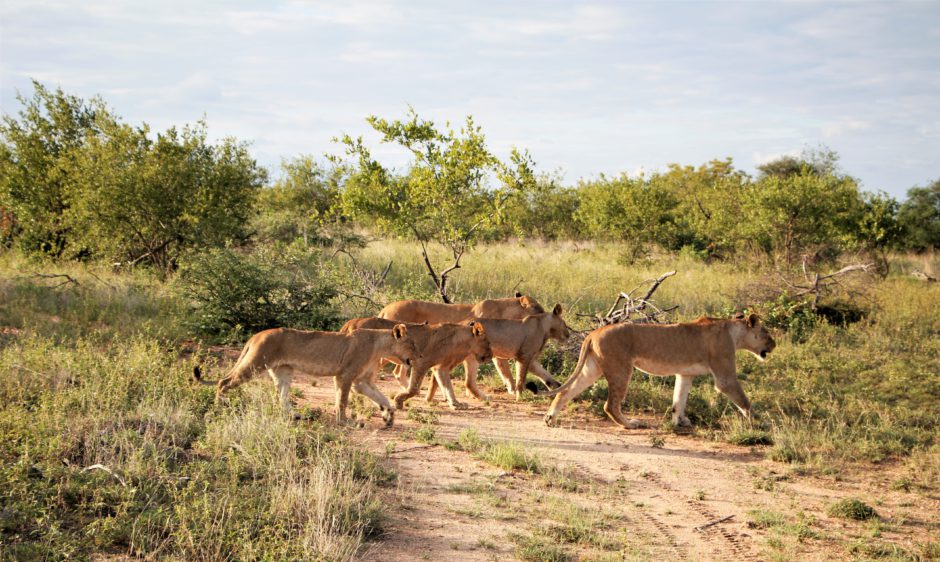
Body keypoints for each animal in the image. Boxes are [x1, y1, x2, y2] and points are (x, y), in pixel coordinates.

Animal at [193, 324, 416, 424]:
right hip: (255, 364)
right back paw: (219, 406)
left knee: (281, 397)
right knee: (223, 382)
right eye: (412, 345)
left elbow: (381, 397)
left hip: (283, 372)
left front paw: (389, 415)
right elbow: (342, 400)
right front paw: (343, 421)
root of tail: (257, 335)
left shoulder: (362, 381)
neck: (380, 347)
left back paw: (293, 415)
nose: (419, 356)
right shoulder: (345, 375)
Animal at [340, 318, 500, 410]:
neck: (461, 344)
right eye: (488, 343)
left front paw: (456, 404)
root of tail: (352, 321)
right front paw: (399, 401)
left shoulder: (440, 368)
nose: (491, 355)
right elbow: (414, 388)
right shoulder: (420, 362)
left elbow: (448, 386)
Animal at [426, 304, 572, 400]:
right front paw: (520, 396)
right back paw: (483, 398)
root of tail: (460, 322)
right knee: (466, 381)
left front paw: (557, 388)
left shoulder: (530, 360)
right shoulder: (524, 356)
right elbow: (521, 378)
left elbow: (545, 375)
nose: (568, 335)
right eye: (565, 324)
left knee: (440, 373)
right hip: (470, 356)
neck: (545, 328)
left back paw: (431, 398)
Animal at [540, 312, 776, 426]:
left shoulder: (685, 374)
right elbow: (744, 401)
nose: (774, 345)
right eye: (766, 333)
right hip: (621, 369)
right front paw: (762, 422)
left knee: (565, 391)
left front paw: (680, 422)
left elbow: (679, 400)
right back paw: (631, 424)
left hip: (592, 369)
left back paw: (550, 418)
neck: (734, 333)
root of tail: (594, 332)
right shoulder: (725, 375)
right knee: (610, 405)